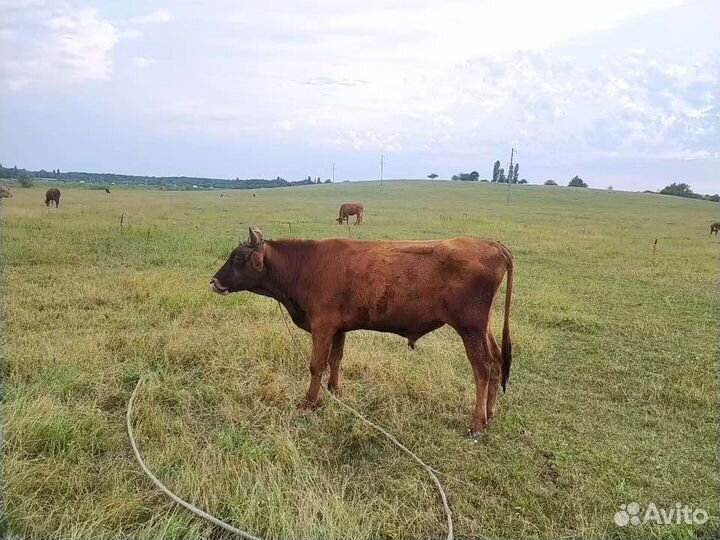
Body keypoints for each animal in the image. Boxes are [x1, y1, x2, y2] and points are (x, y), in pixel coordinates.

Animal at [210, 227, 514, 435]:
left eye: (236, 257)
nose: (213, 281)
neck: (305, 265)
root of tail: (491, 244)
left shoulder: (322, 325)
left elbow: (316, 364)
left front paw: (309, 402)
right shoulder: (338, 327)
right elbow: (336, 359)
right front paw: (334, 390)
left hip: (470, 328)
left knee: (483, 368)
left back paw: (477, 423)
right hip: (483, 326)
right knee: (497, 360)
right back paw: (490, 412)